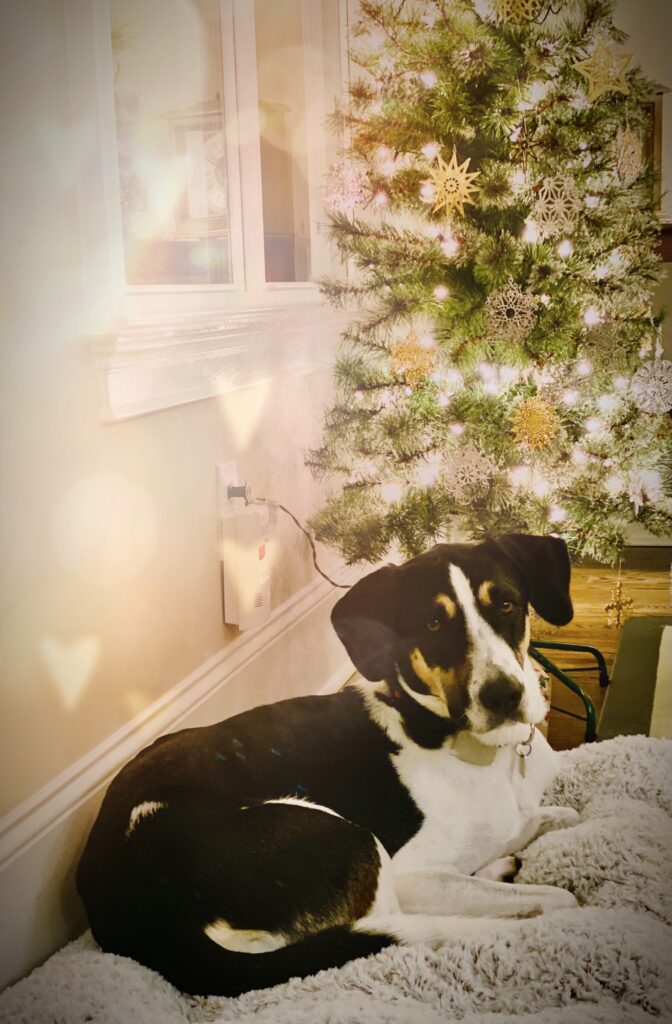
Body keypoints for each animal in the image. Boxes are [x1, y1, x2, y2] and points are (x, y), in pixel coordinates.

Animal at [78, 532, 581, 995]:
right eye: (433, 623)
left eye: (507, 605)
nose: (504, 696)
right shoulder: (412, 872)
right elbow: (553, 897)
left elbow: (558, 815)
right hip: (344, 836)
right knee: (387, 924)